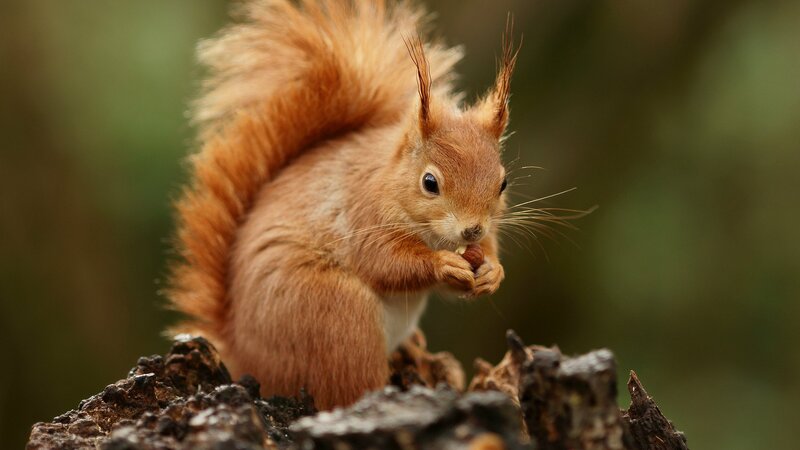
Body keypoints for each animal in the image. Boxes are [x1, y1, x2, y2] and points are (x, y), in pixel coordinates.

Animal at [168, 0, 518, 410]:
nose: (472, 229)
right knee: (348, 387)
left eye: (502, 183)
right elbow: (385, 261)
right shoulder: (361, 213)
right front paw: (442, 264)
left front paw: (492, 271)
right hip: (337, 318)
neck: (388, 180)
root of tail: (244, 358)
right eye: (430, 183)